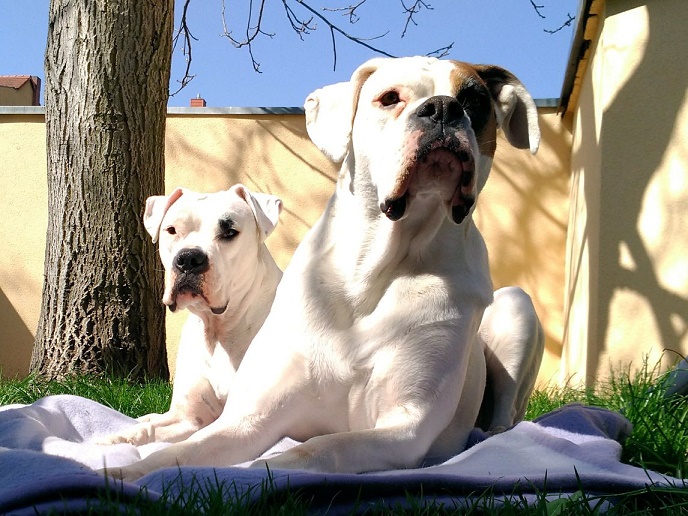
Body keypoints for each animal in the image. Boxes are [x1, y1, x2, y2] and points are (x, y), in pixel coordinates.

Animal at [97, 184, 282, 446]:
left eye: (230, 232)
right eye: (172, 230)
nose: (188, 259)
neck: (217, 330)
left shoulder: (245, 418)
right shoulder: (188, 418)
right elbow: (147, 430)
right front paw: (112, 441)